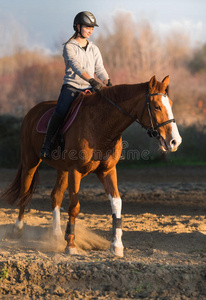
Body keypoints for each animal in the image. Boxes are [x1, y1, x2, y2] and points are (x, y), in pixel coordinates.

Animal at [2, 76, 182, 256]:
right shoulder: (75, 171)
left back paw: (57, 235)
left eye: (171, 104)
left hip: (62, 170)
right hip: (30, 161)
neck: (101, 125)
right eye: (157, 106)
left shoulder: (107, 171)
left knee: (56, 196)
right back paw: (18, 229)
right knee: (25, 192)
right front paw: (71, 245)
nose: (175, 141)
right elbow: (74, 206)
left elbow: (116, 203)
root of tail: (32, 111)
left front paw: (117, 246)